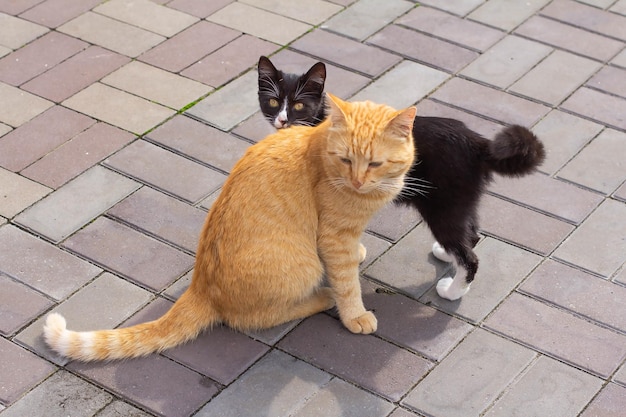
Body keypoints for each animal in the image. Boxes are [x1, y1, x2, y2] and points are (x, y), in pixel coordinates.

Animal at [44, 92, 414, 360]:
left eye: (375, 163)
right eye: (346, 159)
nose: (356, 181)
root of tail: (201, 287)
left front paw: (359, 253)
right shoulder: (334, 237)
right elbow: (347, 282)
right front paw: (355, 315)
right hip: (303, 266)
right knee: (253, 318)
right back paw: (322, 296)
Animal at [256, 57, 544, 300]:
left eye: (299, 105)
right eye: (272, 102)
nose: (282, 120)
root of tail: (477, 142)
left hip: (443, 204)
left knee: (468, 255)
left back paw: (453, 291)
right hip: (461, 200)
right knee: (470, 234)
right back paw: (445, 253)